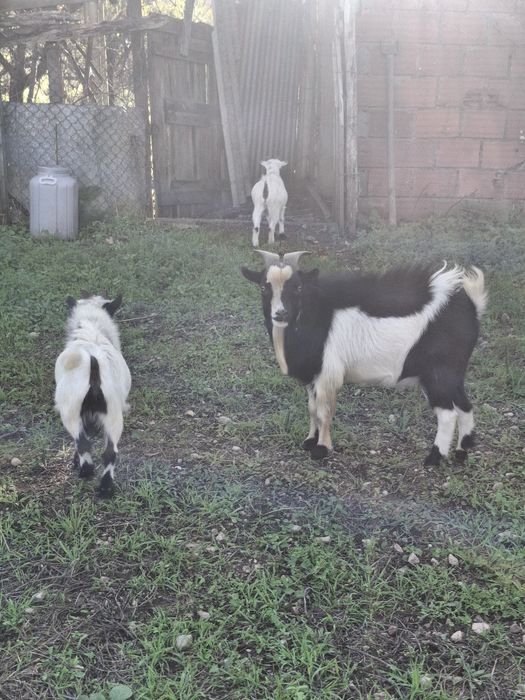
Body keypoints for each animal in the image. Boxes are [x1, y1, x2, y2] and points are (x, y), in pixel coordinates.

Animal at [54, 294, 131, 497]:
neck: (92, 329)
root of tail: (94, 370)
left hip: (70, 411)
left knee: (82, 443)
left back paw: (86, 472)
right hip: (113, 415)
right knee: (110, 452)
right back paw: (105, 488)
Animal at [241, 250, 487, 465]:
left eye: (298, 287)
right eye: (264, 286)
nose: (280, 313)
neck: (313, 316)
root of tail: (472, 306)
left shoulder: (328, 373)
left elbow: (323, 411)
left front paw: (321, 449)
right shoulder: (312, 375)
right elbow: (312, 408)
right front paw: (310, 440)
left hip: (438, 374)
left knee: (447, 414)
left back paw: (434, 458)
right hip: (453, 373)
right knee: (464, 405)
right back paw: (462, 451)